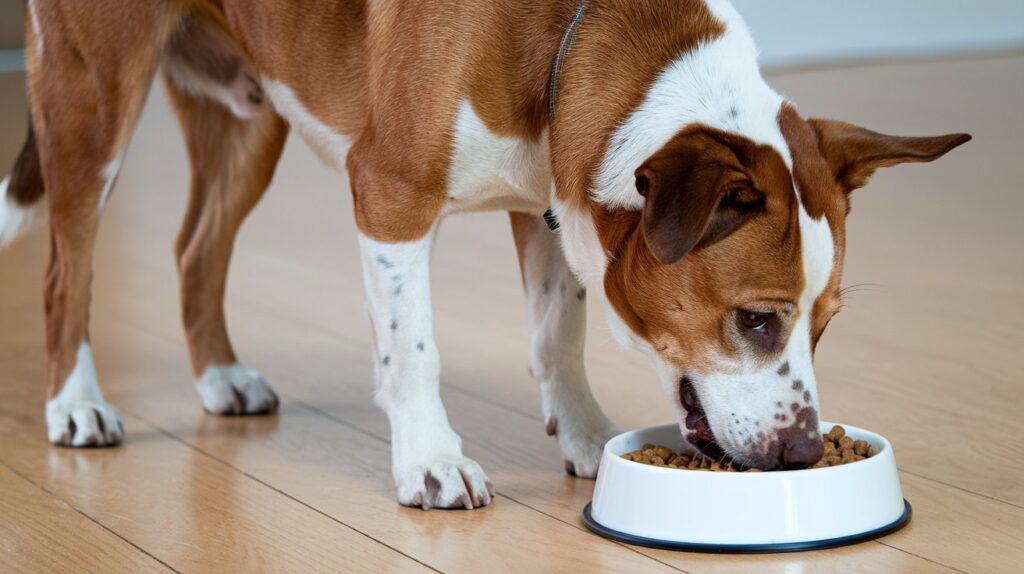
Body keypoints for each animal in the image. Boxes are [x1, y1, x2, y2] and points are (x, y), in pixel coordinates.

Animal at [4, 0, 970, 507]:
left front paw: (586, 437)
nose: (806, 455)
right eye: (757, 320)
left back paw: (218, 379)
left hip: (248, 122)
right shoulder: (389, 196)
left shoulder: (551, 204)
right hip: (93, 101)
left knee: (196, 248)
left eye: (825, 325)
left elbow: (556, 334)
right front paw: (430, 461)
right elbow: (414, 351)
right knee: (63, 273)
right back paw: (76, 405)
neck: (570, 34)